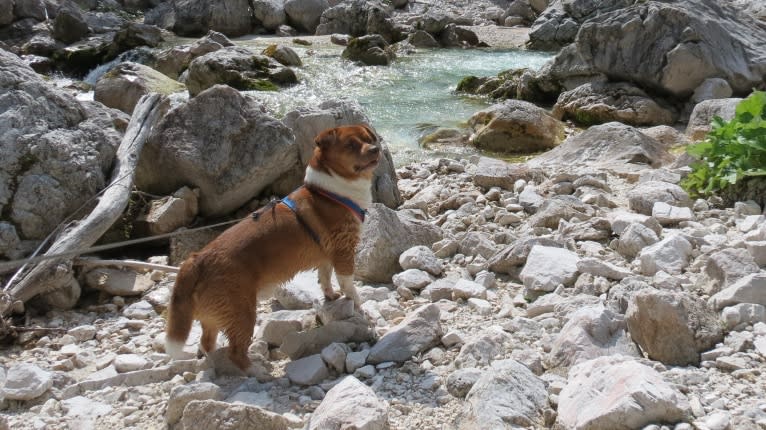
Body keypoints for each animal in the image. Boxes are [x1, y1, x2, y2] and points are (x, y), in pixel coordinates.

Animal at [165, 123, 380, 372]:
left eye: (369, 139)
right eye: (351, 145)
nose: (375, 149)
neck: (331, 192)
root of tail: (197, 259)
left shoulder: (326, 255)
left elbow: (325, 278)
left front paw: (331, 296)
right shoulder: (343, 252)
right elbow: (349, 285)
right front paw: (358, 305)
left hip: (214, 316)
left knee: (207, 343)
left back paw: (215, 366)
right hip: (242, 312)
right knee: (235, 351)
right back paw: (256, 370)